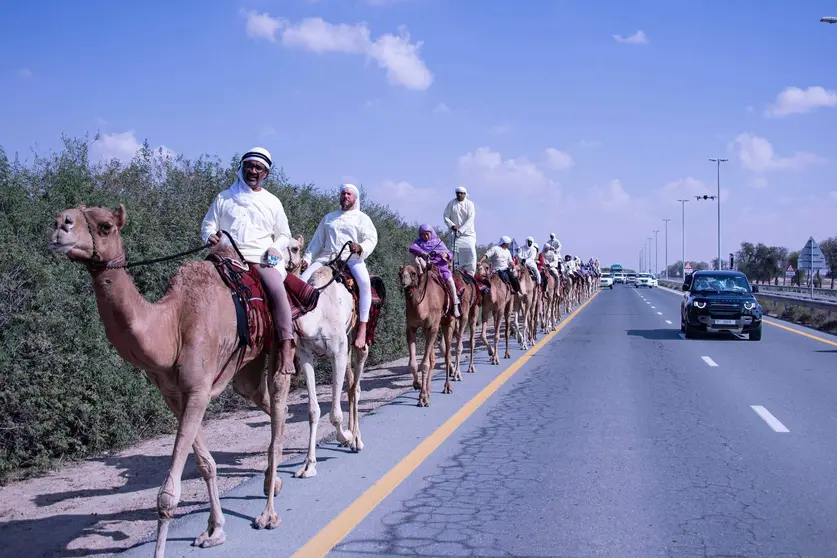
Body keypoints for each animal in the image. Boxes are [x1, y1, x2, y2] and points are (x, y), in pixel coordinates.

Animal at [49, 203, 292, 556]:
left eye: (106, 226)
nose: (60, 224)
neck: (171, 326)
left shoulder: (198, 390)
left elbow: (167, 495)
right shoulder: (175, 395)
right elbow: (205, 464)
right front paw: (214, 530)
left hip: (279, 344)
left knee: (278, 401)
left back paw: (268, 513)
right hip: (246, 365)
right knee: (266, 402)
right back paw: (273, 480)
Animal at [280, 236, 366, 482]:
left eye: (294, 247)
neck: (316, 316)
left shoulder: (336, 353)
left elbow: (335, 413)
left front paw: (346, 437)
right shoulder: (306, 356)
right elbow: (313, 410)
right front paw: (308, 466)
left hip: (356, 340)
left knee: (356, 385)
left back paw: (357, 439)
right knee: (351, 385)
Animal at [400, 260, 458, 404]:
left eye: (413, 273)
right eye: (400, 273)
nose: (404, 282)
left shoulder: (433, 327)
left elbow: (425, 364)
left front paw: (422, 398)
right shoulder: (412, 327)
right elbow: (414, 363)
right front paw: (418, 385)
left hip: (448, 322)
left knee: (447, 354)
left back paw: (447, 387)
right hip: (428, 329)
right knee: (433, 358)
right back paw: (428, 391)